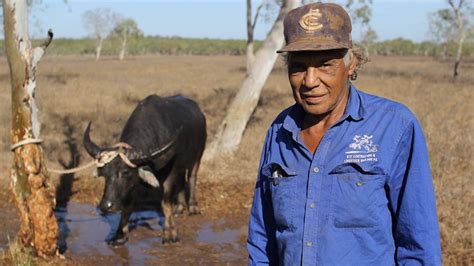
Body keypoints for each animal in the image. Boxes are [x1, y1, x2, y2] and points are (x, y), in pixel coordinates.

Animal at [84, 94, 206, 246]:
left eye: (125, 172)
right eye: (105, 174)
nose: (106, 206)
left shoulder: (170, 174)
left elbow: (165, 203)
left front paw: (170, 234)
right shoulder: (135, 181)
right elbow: (128, 205)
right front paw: (119, 236)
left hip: (199, 154)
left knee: (192, 178)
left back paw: (193, 207)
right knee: (182, 183)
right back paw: (180, 208)